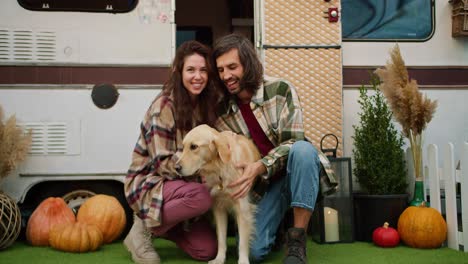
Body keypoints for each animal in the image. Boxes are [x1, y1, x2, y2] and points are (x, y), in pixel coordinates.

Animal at [176, 124, 260, 264]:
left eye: (193, 146)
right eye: (183, 147)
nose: (176, 168)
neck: (219, 168)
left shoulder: (242, 208)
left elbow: (242, 242)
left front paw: (243, 260)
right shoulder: (218, 207)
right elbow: (221, 238)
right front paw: (219, 258)